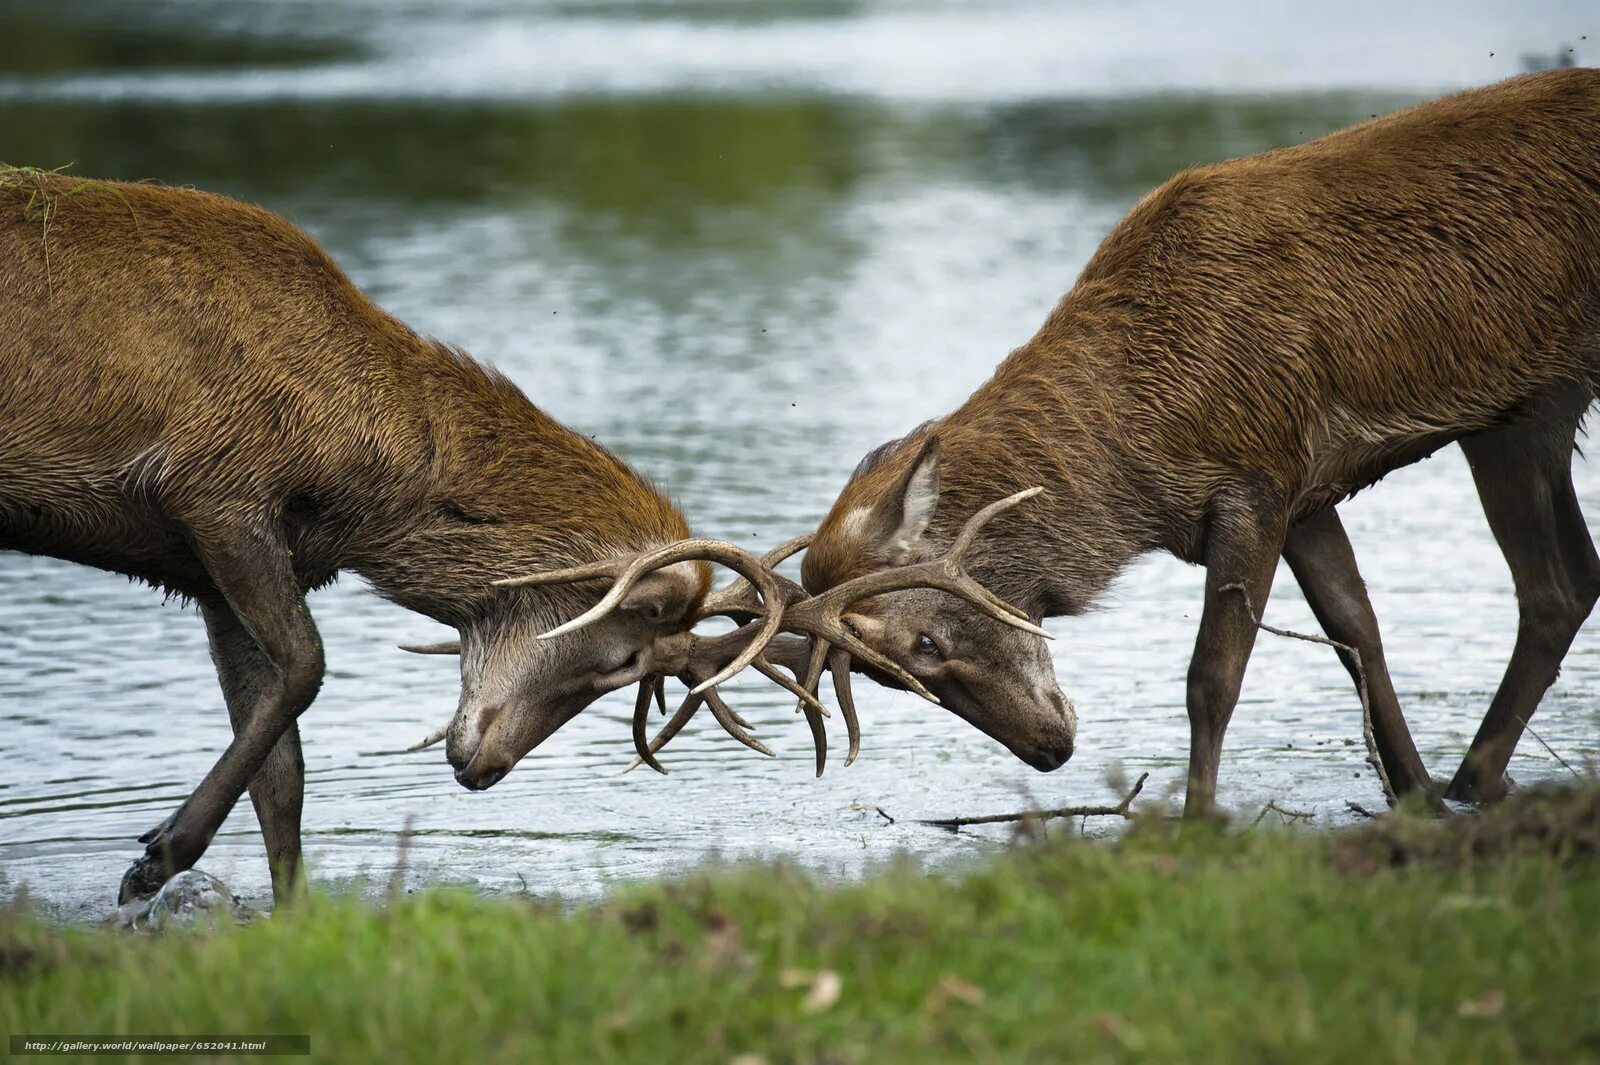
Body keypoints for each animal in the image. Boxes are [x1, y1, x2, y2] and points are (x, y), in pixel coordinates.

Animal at [0, 167, 1030, 901]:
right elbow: (306, 668)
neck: (362, 487)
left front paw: (280, 915)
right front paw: (157, 853)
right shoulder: (212, 489)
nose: (486, 768)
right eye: (621, 658)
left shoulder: (212, 561)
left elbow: (283, 767)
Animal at [620, 68, 1600, 812]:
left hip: (1522, 411)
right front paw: (1413, 793)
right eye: (895, 678)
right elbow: (1359, 631)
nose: (1049, 750)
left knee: (1554, 581)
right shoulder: (1304, 485)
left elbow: (1214, 673)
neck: (1146, 458)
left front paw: (1197, 819)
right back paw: (1472, 778)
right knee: (1565, 581)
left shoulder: (1256, 473)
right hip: (1524, 415)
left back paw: (1479, 776)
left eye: (923, 645)